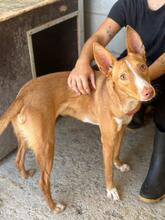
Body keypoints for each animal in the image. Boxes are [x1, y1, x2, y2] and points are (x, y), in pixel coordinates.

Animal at [0, 26, 155, 213]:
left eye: (143, 66)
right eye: (123, 77)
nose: (148, 92)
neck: (120, 98)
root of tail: (22, 96)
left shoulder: (121, 130)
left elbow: (117, 151)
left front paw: (118, 163)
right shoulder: (107, 139)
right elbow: (108, 170)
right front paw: (111, 190)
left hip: (26, 137)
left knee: (18, 158)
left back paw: (24, 174)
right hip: (46, 145)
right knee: (43, 181)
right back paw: (54, 207)